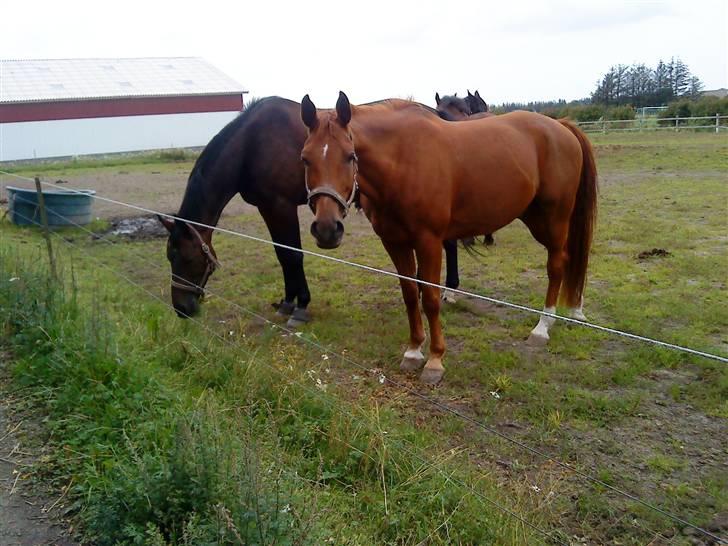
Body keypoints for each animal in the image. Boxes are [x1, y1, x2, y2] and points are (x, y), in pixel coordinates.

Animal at [159, 96, 478, 326]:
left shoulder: (281, 206)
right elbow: (281, 254)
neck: (251, 144)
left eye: (186, 257)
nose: (182, 308)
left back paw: (449, 291)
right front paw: (287, 302)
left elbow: (292, 255)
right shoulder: (268, 207)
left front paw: (300, 307)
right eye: (169, 257)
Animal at [298, 92, 596, 382]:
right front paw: (413, 350)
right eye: (305, 158)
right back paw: (575, 309)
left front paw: (435, 360)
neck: (403, 160)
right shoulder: (394, 242)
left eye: (350, 156)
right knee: (571, 258)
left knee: (557, 264)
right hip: (536, 217)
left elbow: (430, 298)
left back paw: (543, 327)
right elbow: (410, 294)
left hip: (553, 219)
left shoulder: (428, 241)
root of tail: (560, 126)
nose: (327, 229)